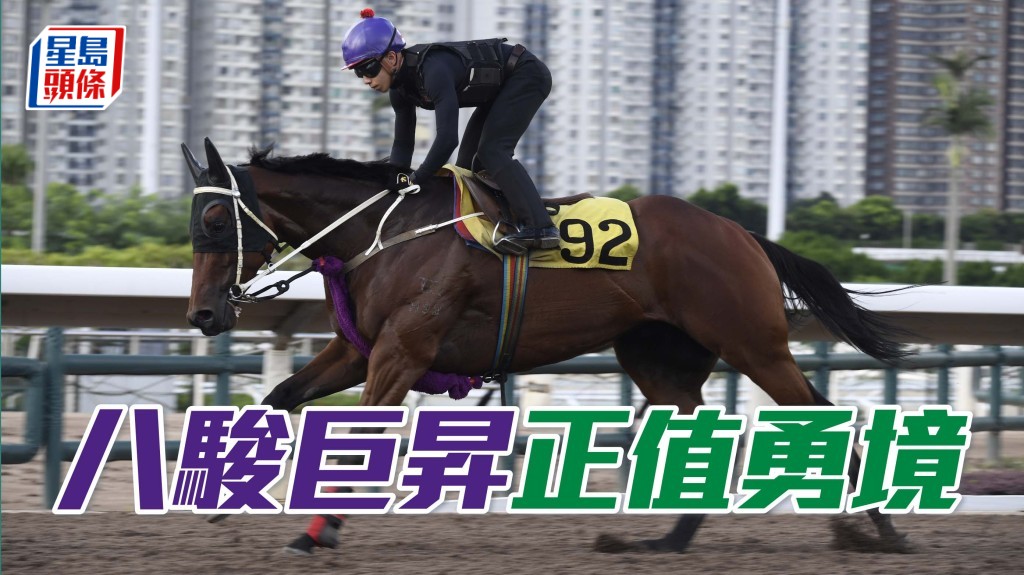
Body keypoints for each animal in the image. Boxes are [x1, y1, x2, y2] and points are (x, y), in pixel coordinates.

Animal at [183, 138, 913, 555]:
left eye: (216, 218)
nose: (203, 313)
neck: (385, 232)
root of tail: (741, 233)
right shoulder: (361, 349)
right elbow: (278, 399)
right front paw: (221, 495)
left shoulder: (403, 352)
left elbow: (358, 441)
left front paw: (318, 531)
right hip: (658, 360)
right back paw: (661, 539)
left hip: (753, 344)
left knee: (820, 413)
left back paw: (883, 530)